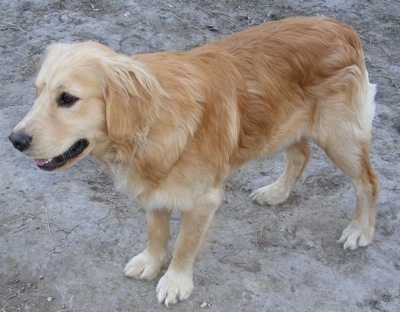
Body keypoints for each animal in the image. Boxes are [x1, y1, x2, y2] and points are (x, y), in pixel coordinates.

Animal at [9, 16, 378, 304]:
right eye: (37, 91)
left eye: (67, 98)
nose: (15, 140)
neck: (151, 123)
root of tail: (341, 26)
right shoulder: (156, 188)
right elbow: (155, 230)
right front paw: (150, 261)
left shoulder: (203, 200)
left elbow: (185, 244)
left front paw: (176, 281)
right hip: (285, 125)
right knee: (301, 154)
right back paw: (277, 192)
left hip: (339, 137)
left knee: (368, 182)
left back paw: (360, 230)